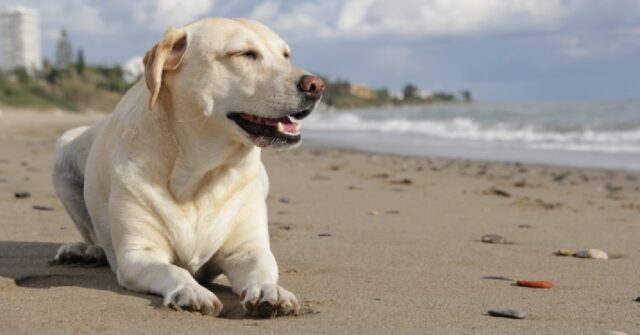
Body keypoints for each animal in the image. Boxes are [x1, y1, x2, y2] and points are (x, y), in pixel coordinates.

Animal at [50, 17, 324, 318]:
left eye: (286, 55)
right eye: (244, 54)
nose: (316, 85)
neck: (199, 174)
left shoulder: (247, 249)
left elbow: (262, 268)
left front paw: (270, 290)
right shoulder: (138, 253)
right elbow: (173, 270)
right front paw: (191, 290)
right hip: (63, 150)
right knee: (94, 236)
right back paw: (85, 251)